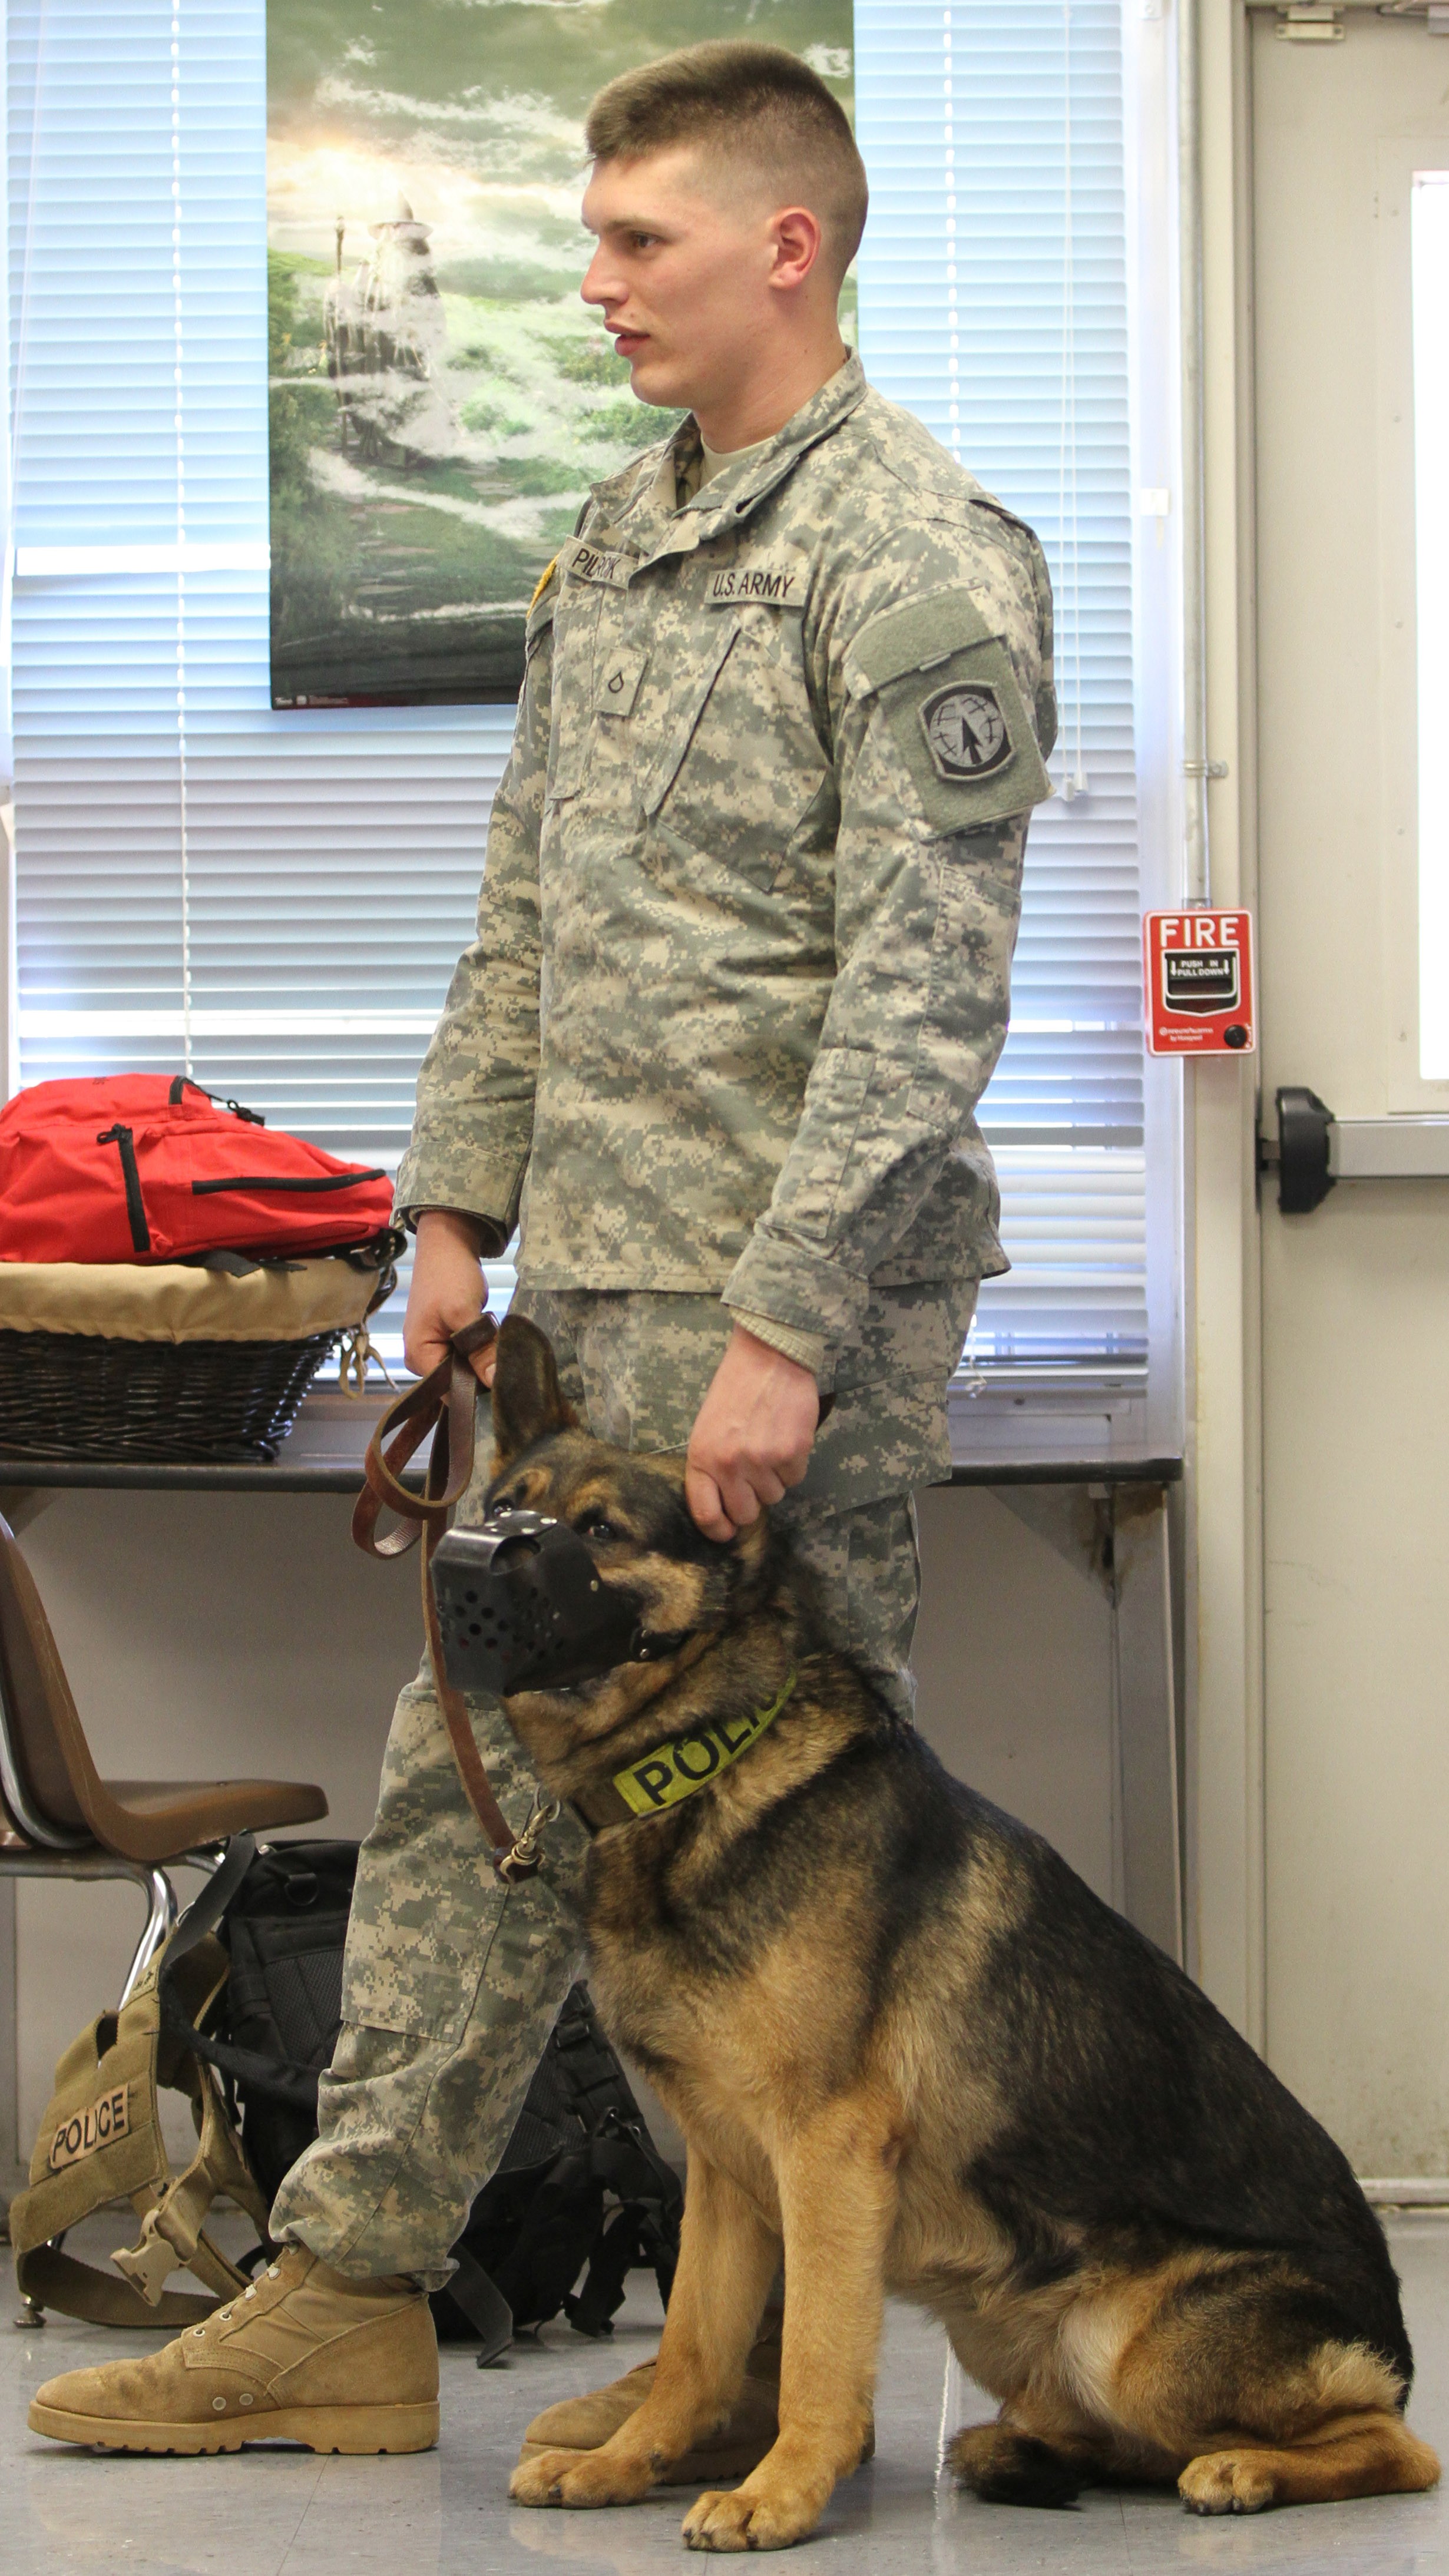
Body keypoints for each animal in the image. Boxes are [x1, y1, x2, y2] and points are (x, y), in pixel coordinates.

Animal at [487, 1319, 1433, 2545]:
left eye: (599, 1530)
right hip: (1001, 2316)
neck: (704, 1763)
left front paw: (779, 2490)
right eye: (502, 1505)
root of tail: (1396, 2344)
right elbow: (694, 2346)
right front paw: (624, 2462)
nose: (482, 1565)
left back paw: (1242, 2467)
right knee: (1125, 2437)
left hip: (1139, 2344)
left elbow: (814, 2352)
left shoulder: (826, 2155)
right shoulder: (727, 2175)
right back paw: (1020, 2446)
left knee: (1392, 2447)